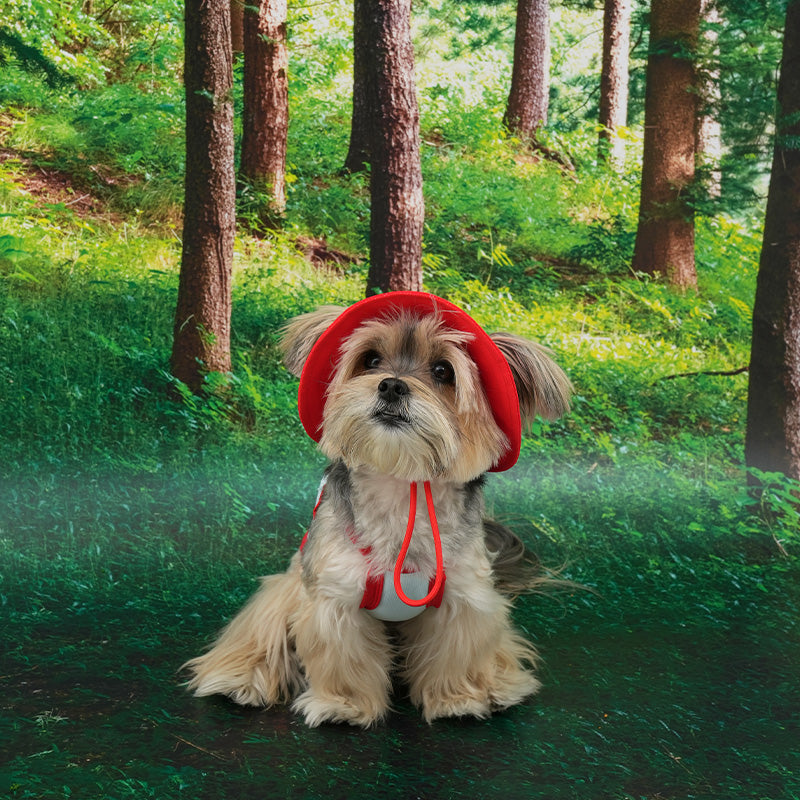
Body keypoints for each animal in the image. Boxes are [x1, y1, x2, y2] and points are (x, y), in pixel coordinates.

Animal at [184, 292, 572, 724]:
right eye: (370, 360)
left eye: (443, 370)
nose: (391, 385)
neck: (400, 487)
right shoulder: (334, 597)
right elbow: (343, 656)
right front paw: (344, 703)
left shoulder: (463, 599)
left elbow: (455, 652)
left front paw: (458, 698)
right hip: (285, 589)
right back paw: (242, 679)